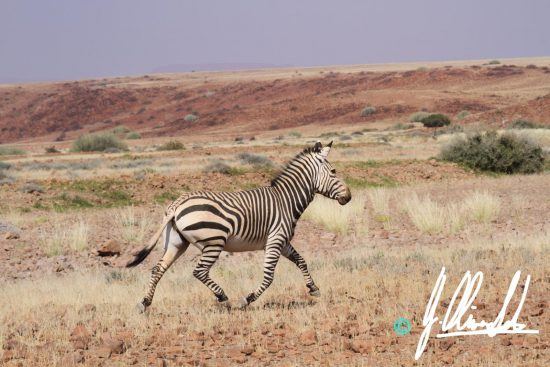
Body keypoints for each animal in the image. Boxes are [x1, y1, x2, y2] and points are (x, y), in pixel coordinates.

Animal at [128, 142, 354, 314]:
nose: (349, 196)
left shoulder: (282, 242)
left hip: (177, 243)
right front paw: (246, 299)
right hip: (214, 242)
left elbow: (301, 261)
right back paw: (223, 297)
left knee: (158, 269)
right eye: (333, 172)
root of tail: (176, 205)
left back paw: (144, 303)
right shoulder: (275, 239)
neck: (286, 200)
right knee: (199, 271)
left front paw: (313, 288)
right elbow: (269, 276)